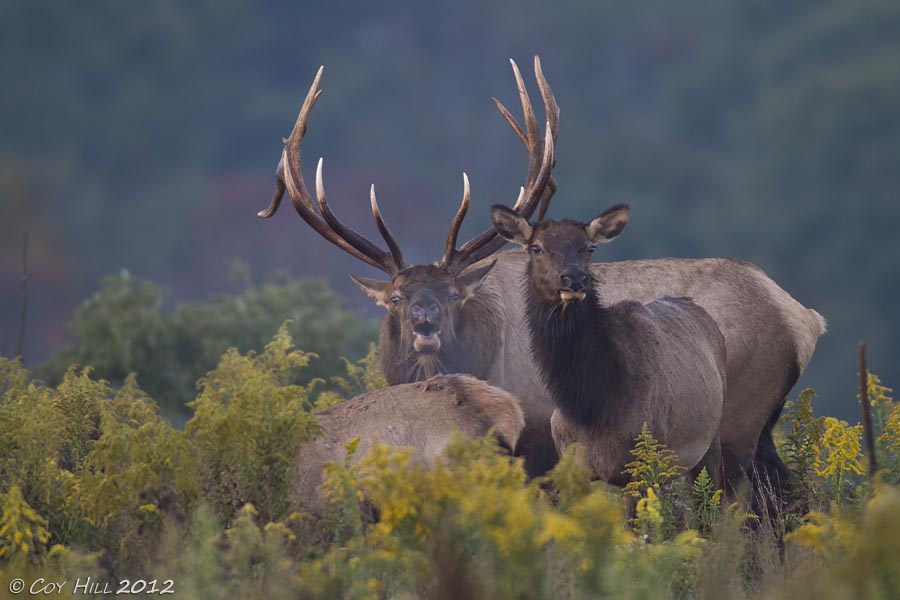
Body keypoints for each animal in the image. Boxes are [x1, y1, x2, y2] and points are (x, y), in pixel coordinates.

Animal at [490, 203, 726, 487]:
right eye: (536, 247)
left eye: (589, 248)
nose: (575, 279)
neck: (591, 406)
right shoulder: (572, 463)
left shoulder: (639, 464)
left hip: (712, 439)